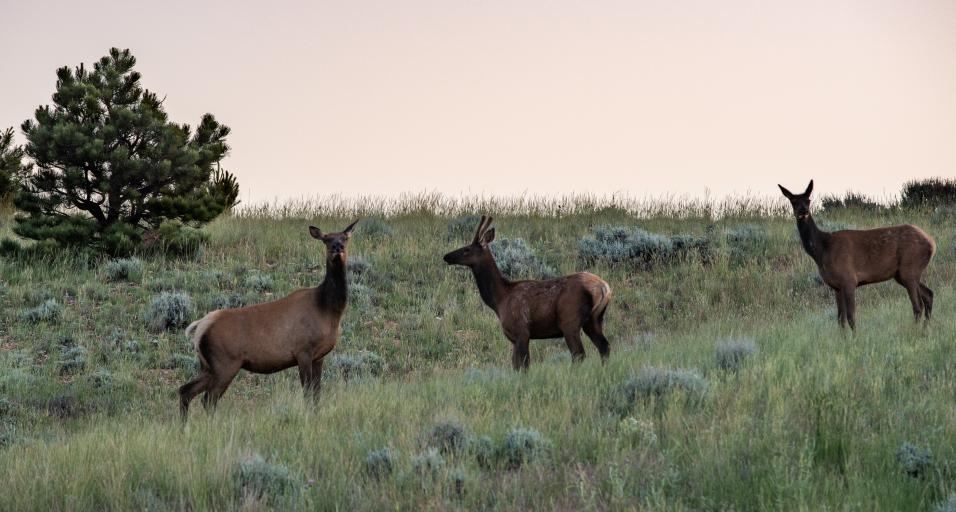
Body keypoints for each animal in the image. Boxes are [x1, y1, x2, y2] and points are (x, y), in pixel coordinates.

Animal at [177, 220, 359, 421]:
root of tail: (200, 327)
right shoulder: (303, 351)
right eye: (326, 239)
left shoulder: (319, 356)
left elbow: (317, 393)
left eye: (345, 238)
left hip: (208, 366)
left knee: (185, 390)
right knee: (208, 399)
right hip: (225, 363)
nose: (337, 247)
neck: (327, 310)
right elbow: (307, 392)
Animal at [443, 215, 612, 370]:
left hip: (570, 320)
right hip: (594, 319)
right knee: (604, 347)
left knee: (579, 354)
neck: (499, 300)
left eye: (467, 249)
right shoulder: (514, 338)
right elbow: (515, 366)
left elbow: (524, 366)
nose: (446, 256)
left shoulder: (521, 331)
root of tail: (604, 287)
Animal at [778, 181, 936, 329]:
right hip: (903, 274)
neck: (822, 251)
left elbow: (851, 317)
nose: (803, 211)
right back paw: (925, 329)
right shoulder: (836, 286)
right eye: (793, 201)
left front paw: (855, 338)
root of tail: (931, 243)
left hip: (909, 268)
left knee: (918, 306)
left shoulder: (849, 280)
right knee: (929, 294)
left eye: (808, 200)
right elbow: (840, 320)